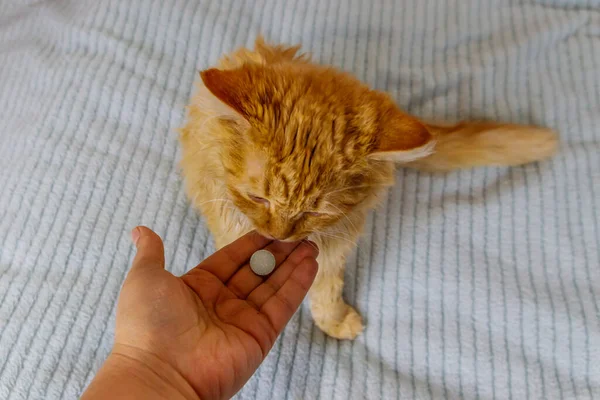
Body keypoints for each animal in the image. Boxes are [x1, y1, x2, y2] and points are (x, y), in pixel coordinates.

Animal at [178, 37, 556, 340]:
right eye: (258, 197)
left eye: (315, 211)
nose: (280, 236)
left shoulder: (337, 243)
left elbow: (327, 289)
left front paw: (334, 321)